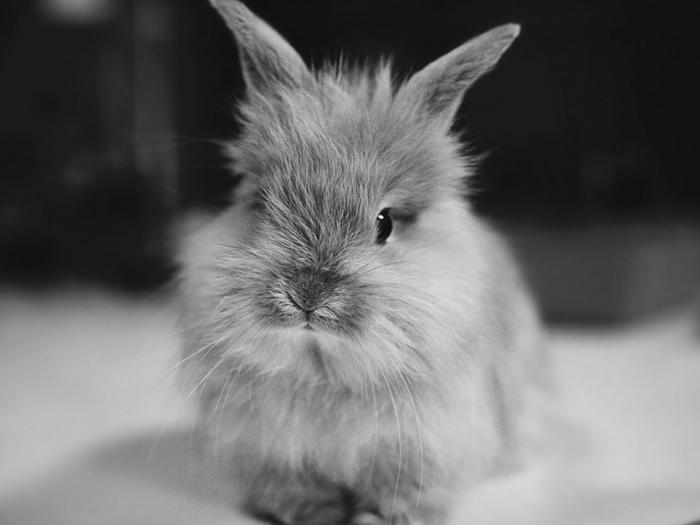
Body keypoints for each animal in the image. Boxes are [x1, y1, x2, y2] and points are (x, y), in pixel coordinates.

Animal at [177, 1, 543, 524]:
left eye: (384, 223)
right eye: (263, 204)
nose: (307, 295)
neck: (325, 366)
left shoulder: (419, 445)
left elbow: (404, 496)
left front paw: (377, 519)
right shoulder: (272, 450)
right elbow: (294, 490)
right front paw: (318, 515)